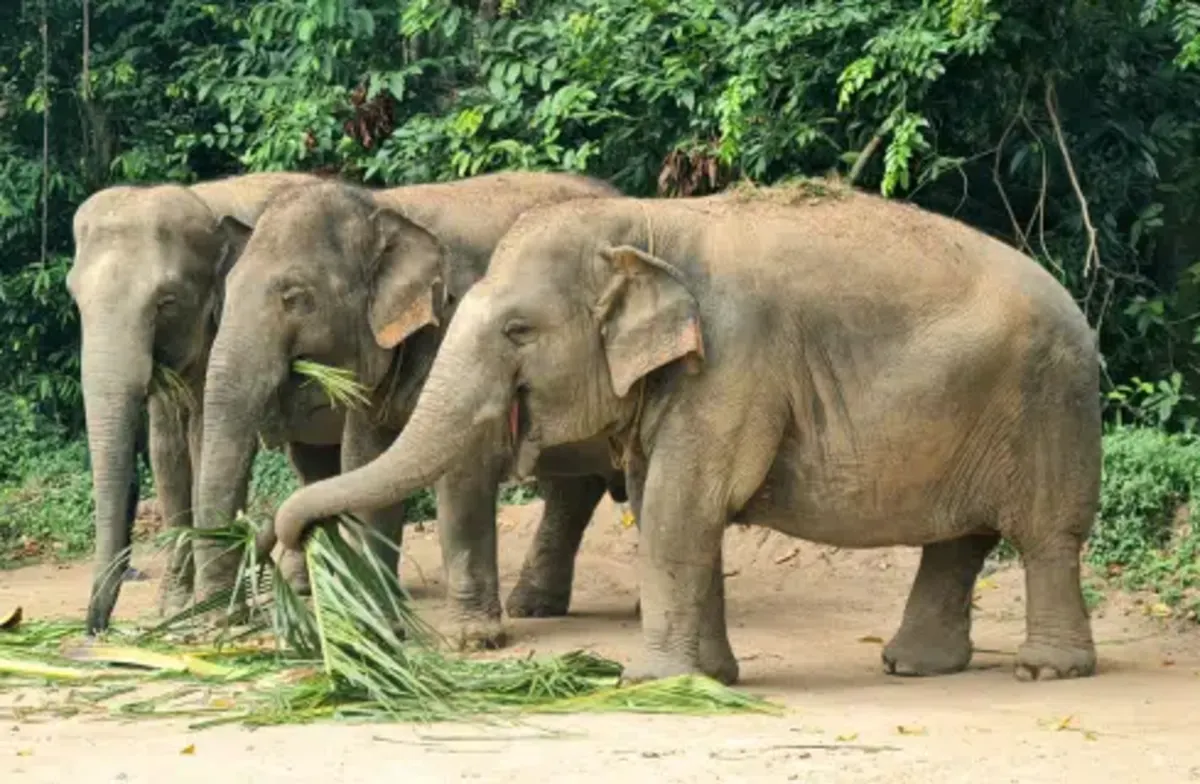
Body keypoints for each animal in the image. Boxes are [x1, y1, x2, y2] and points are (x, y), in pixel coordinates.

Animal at [67, 171, 325, 633]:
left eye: (165, 303)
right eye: (74, 300)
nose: (96, 628)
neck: (202, 203)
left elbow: (205, 440)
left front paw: (213, 609)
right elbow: (166, 452)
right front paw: (175, 608)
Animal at [198, 171, 628, 648]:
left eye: (294, 297)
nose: (222, 622)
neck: (384, 207)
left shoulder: (465, 333)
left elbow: (462, 471)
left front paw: (473, 639)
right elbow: (363, 459)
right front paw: (375, 629)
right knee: (576, 489)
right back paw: (534, 607)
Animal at [270, 182, 1103, 685]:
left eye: (518, 330)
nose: (282, 544)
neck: (649, 226)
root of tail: (1079, 309)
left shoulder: (733, 361)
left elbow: (681, 505)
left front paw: (651, 682)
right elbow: (666, 505)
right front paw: (713, 679)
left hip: (1048, 408)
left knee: (1045, 538)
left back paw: (1045, 671)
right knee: (959, 541)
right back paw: (913, 666)